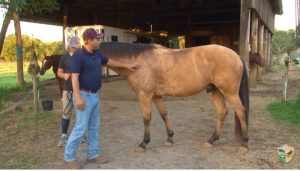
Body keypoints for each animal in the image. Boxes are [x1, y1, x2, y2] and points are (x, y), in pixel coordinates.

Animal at [99, 42, 250, 154]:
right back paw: (211, 141)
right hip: (216, 91)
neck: (138, 61)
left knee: (241, 111)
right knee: (222, 112)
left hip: (230, 93)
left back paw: (244, 144)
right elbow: (164, 114)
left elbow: (146, 118)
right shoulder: (157, 96)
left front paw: (143, 143)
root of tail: (236, 55)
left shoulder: (145, 95)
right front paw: (169, 139)